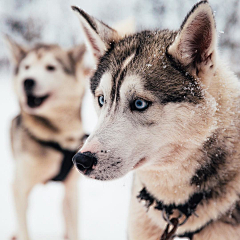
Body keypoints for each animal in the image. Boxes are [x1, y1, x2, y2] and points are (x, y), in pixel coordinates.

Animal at [6, 35, 89, 240]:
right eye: (26, 67)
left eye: (50, 67)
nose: (27, 81)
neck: (57, 137)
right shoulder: (20, 187)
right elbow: (24, 228)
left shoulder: (72, 190)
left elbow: (74, 227)